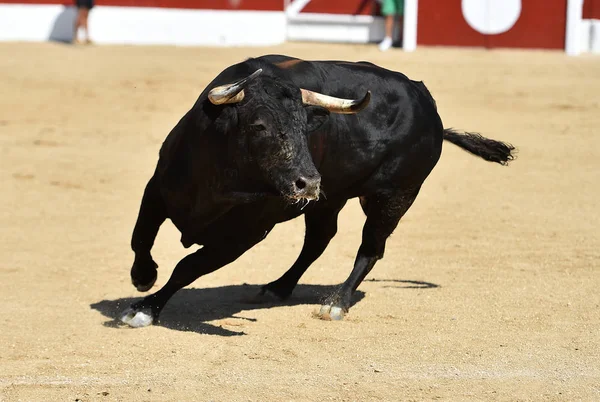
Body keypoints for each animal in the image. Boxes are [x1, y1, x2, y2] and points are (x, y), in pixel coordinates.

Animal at [120, 55, 516, 326]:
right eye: (259, 125)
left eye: (304, 127)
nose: (309, 182)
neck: (218, 179)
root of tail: (428, 106)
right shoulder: (157, 189)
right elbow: (141, 237)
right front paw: (143, 278)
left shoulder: (245, 235)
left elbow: (188, 267)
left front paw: (144, 310)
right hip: (332, 199)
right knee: (319, 240)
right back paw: (277, 288)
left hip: (395, 196)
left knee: (371, 247)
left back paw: (336, 302)